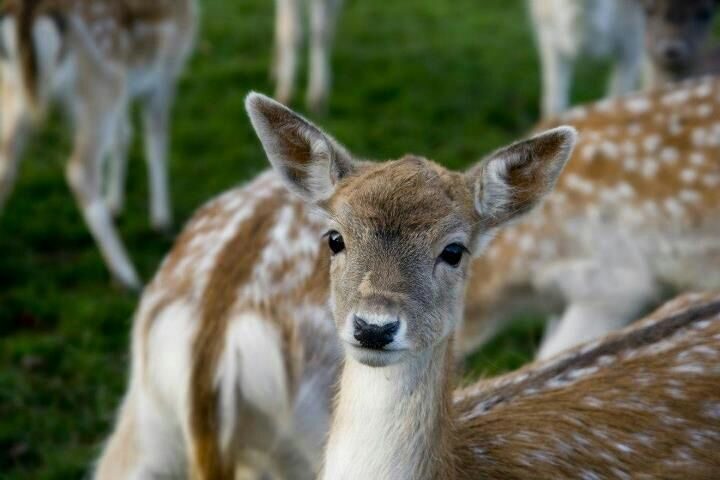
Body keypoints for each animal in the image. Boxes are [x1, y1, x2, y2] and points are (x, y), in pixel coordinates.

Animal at [0, 0, 198, 290]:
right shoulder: (165, 70)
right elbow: (156, 141)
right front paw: (161, 219)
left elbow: (122, 136)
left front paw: (115, 203)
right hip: (102, 80)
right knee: (80, 169)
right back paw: (126, 274)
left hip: (14, 92)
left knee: (6, 165)